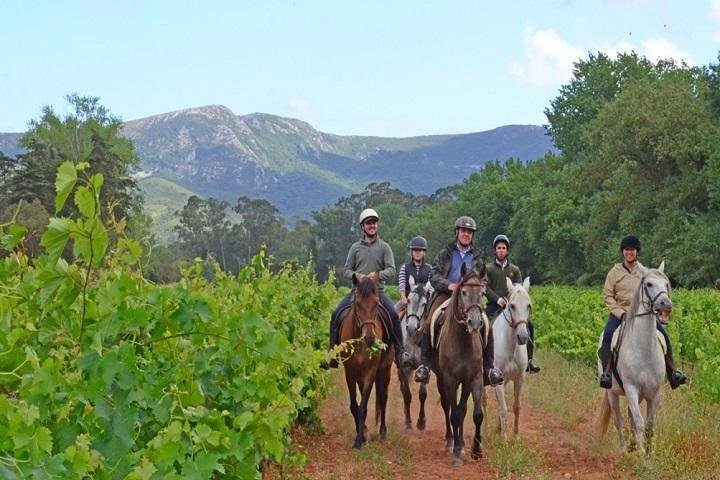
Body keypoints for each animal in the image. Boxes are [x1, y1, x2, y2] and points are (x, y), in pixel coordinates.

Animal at [338, 274, 394, 450]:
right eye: (357, 303)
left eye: (376, 303)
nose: (370, 338)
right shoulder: (349, 372)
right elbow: (354, 405)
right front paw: (362, 434)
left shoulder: (370, 372)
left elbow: (363, 406)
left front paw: (359, 440)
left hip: (385, 369)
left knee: (383, 397)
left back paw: (383, 432)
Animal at [430, 262, 492, 464]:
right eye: (463, 292)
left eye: (482, 292)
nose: (475, 322)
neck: (463, 341)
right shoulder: (450, 379)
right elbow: (454, 414)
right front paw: (456, 451)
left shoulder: (474, 378)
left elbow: (475, 414)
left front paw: (476, 450)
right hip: (441, 379)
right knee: (447, 406)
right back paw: (451, 442)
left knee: (462, 408)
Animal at [600, 262, 672, 454]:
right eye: (649, 284)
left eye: (666, 284)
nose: (666, 305)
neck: (644, 351)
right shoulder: (631, 388)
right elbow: (639, 423)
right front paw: (640, 453)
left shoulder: (654, 393)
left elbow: (649, 425)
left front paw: (648, 454)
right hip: (613, 393)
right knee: (618, 420)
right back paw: (625, 449)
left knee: (630, 417)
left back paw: (632, 445)